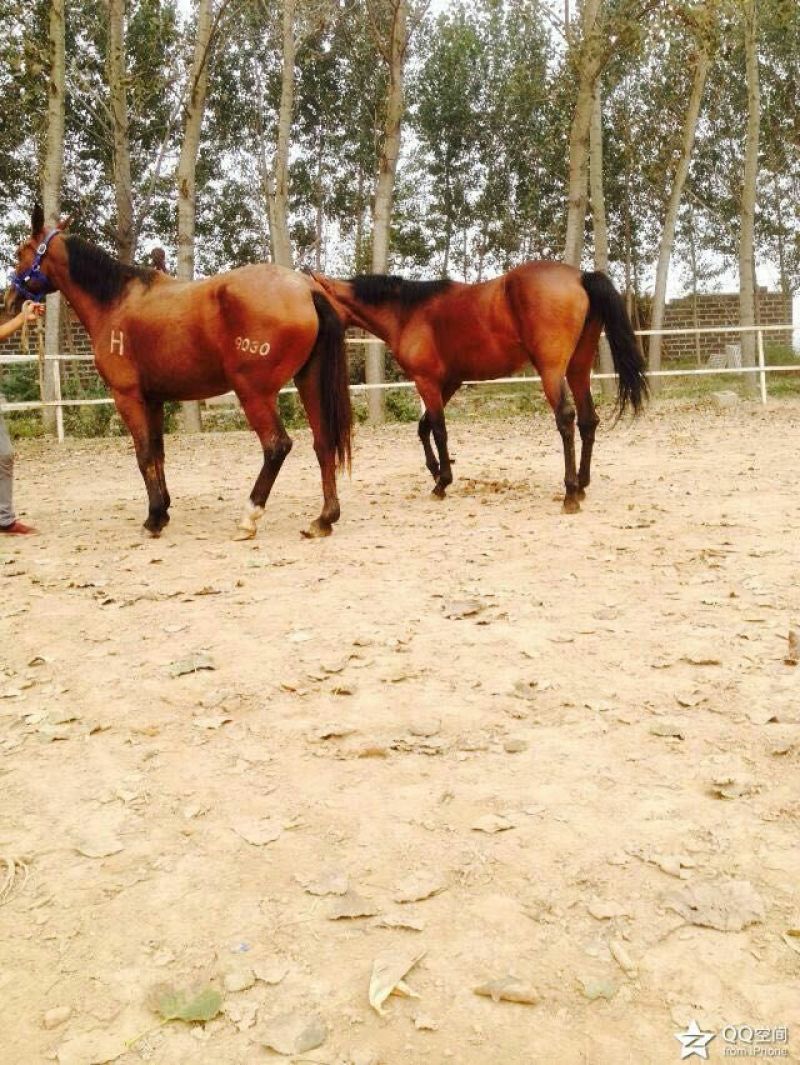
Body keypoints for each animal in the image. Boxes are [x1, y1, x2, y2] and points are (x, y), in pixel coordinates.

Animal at [7, 206, 351, 539]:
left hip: (253, 393)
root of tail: (305, 289)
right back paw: (323, 519)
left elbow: (144, 455)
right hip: (308, 381)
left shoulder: (127, 397)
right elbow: (158, 454)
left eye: (20, 251)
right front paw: (163, 511)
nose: (9, 299)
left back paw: (249, 518)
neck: (115, 301)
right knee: (323, 443)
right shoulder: (154, 400)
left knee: (277, 446)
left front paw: (153, 519)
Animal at [307, 262, 647, 512]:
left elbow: (438, 429)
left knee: (566, 418)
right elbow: (424, 427)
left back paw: (570, 493)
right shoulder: (449, 383)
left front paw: (442, 482)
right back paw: (583, 483)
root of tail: (580, 276)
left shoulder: (427, 381)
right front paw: (436, 471)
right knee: (589, 420)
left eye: (315, 297)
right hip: (578, 368)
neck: (407, 312)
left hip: (552, 371)